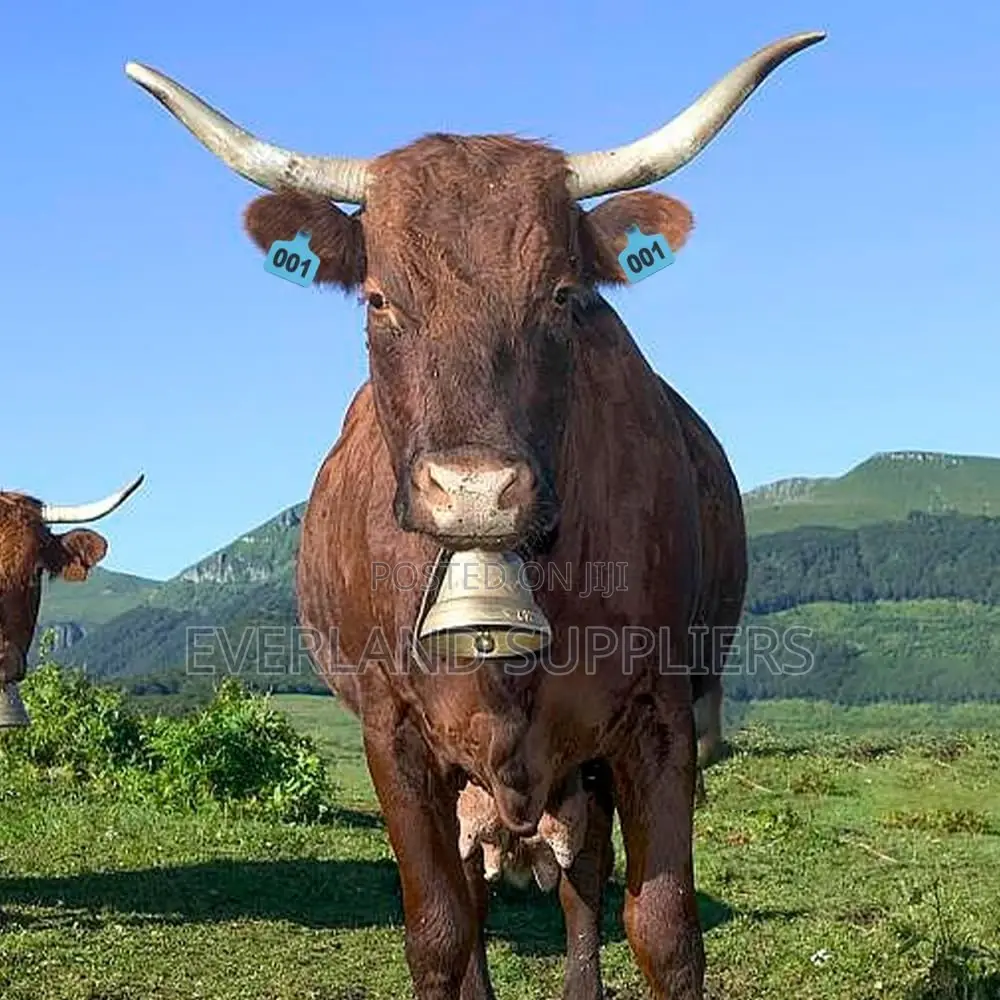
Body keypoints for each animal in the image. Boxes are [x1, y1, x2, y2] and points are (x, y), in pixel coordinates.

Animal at [126, 30, 822, 1000]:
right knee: (480, 895)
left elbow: (664, 929)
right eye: (378, 296)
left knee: (579, 882)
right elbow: (440, 931)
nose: (474, 490)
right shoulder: (393, 736)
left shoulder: (659, 719)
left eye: (563, 295)